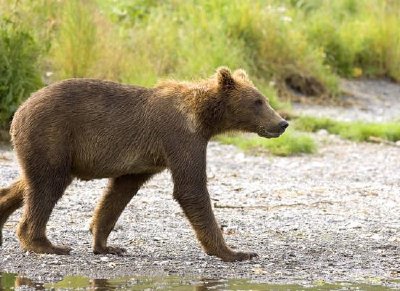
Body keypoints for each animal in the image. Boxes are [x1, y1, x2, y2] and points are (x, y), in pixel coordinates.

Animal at [0, 68, 288, 262]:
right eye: (257, 102)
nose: (282, 123)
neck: (204, 118)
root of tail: (20, 109)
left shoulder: (144, 161)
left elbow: (118, 193)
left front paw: (106, 244)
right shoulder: (180, 137)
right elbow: (191, 189)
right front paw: (234, 251)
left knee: (28, 183)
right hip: (52, 136)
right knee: (46, 186)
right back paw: (45, 244)